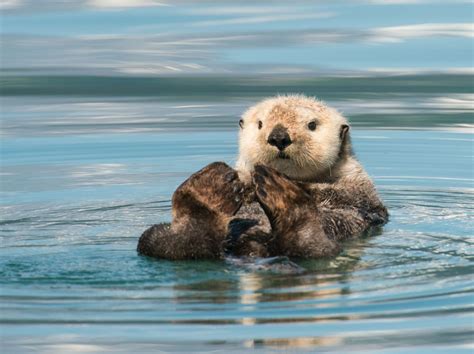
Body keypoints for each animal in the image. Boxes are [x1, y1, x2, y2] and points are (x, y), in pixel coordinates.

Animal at [137, 94, 388, 260]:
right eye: (260, 124)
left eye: (312, 125)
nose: (279, 137)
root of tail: (253, 250)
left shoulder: (360, 190)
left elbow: (341, 196)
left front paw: (299, 187)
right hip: (155, 237)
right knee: (174, 246)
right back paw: (208, 192)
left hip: (324, 247)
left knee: (311, 248)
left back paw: (282, 195)